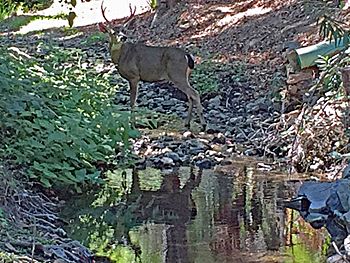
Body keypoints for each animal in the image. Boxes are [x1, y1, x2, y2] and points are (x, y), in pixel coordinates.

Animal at [97, 1, 206, 131]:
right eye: (113, 32)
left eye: (124, 30)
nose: (123, 37)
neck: (121, 57)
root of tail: (187, 55)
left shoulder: (134, 76)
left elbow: (132, 102)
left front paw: (132, 124)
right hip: (185, 76)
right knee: (190, 96)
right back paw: (187, 123)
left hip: (177, 74)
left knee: (194, 93)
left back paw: (203, 125)